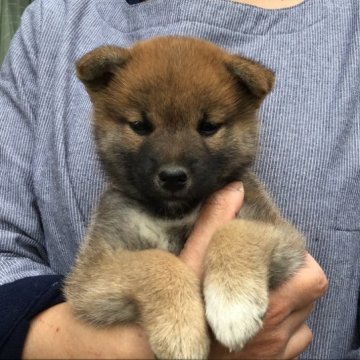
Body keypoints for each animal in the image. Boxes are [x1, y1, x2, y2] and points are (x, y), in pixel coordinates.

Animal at [63, 37, 306, 360]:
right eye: (140, 126)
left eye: (208, 126)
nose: (172, 176)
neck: (174, 213)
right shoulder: (91, 276)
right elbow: (154, 262)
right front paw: (180, 328)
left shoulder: (281, 235)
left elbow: (234, 231)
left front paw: (233, 302)